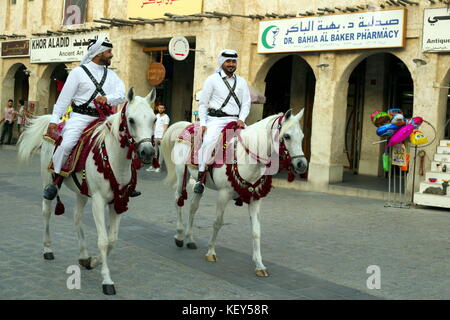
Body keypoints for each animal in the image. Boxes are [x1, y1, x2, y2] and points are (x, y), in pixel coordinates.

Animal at [17, 87, 157, 296]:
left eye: (154, 119)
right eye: (131, 120)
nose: (147, 152)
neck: (114, 159)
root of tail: (54, 122)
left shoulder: (118, 201)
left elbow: (112, 240)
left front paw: (93, 262)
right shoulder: (99, 201)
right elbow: (103, 241)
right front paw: (107, 280)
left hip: (81, 192)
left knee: (77, 218)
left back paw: (83, 255)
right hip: (47, 181)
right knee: (46, 211)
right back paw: (47, 249)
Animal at [160, 109, 308, 276]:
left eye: (302, 136)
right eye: (287, 136)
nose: (302, 164)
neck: (247, 156)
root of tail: (188, 125)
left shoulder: (255, 198)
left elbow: (256, 231)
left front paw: (259, 265)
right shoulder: (223, 195)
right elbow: (218, 222)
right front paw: (211, 252)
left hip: (198, 183)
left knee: (193, 206)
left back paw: (190, 239)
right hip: (181, 176)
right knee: (178, 200)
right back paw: (179, 235)